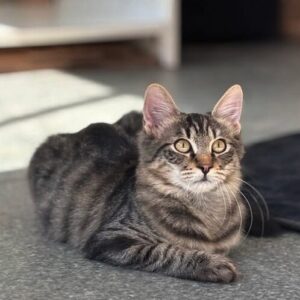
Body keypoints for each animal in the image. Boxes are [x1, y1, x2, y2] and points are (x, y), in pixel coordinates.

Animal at [29, 84, 247, 284]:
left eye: (219, 145)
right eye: (182, 145)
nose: (206, 166)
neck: (206, 206)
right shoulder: (111, 238)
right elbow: (166, 251)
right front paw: (212, 263)